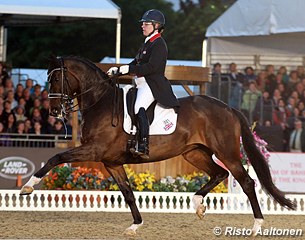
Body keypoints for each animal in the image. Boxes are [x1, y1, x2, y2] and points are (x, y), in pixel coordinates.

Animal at [19, 56, 294, 236]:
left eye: (56, 78)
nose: (54, 112)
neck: (100, 101)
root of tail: (228, 108)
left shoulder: (94, 150)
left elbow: (55, 158)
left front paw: (28, 187)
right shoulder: (112, 162)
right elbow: (128, 193)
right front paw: (135, 225)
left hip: (227, 152)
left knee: (246, 181)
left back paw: (256, 226)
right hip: (194, 153)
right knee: (219, 173)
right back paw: (198, 204)